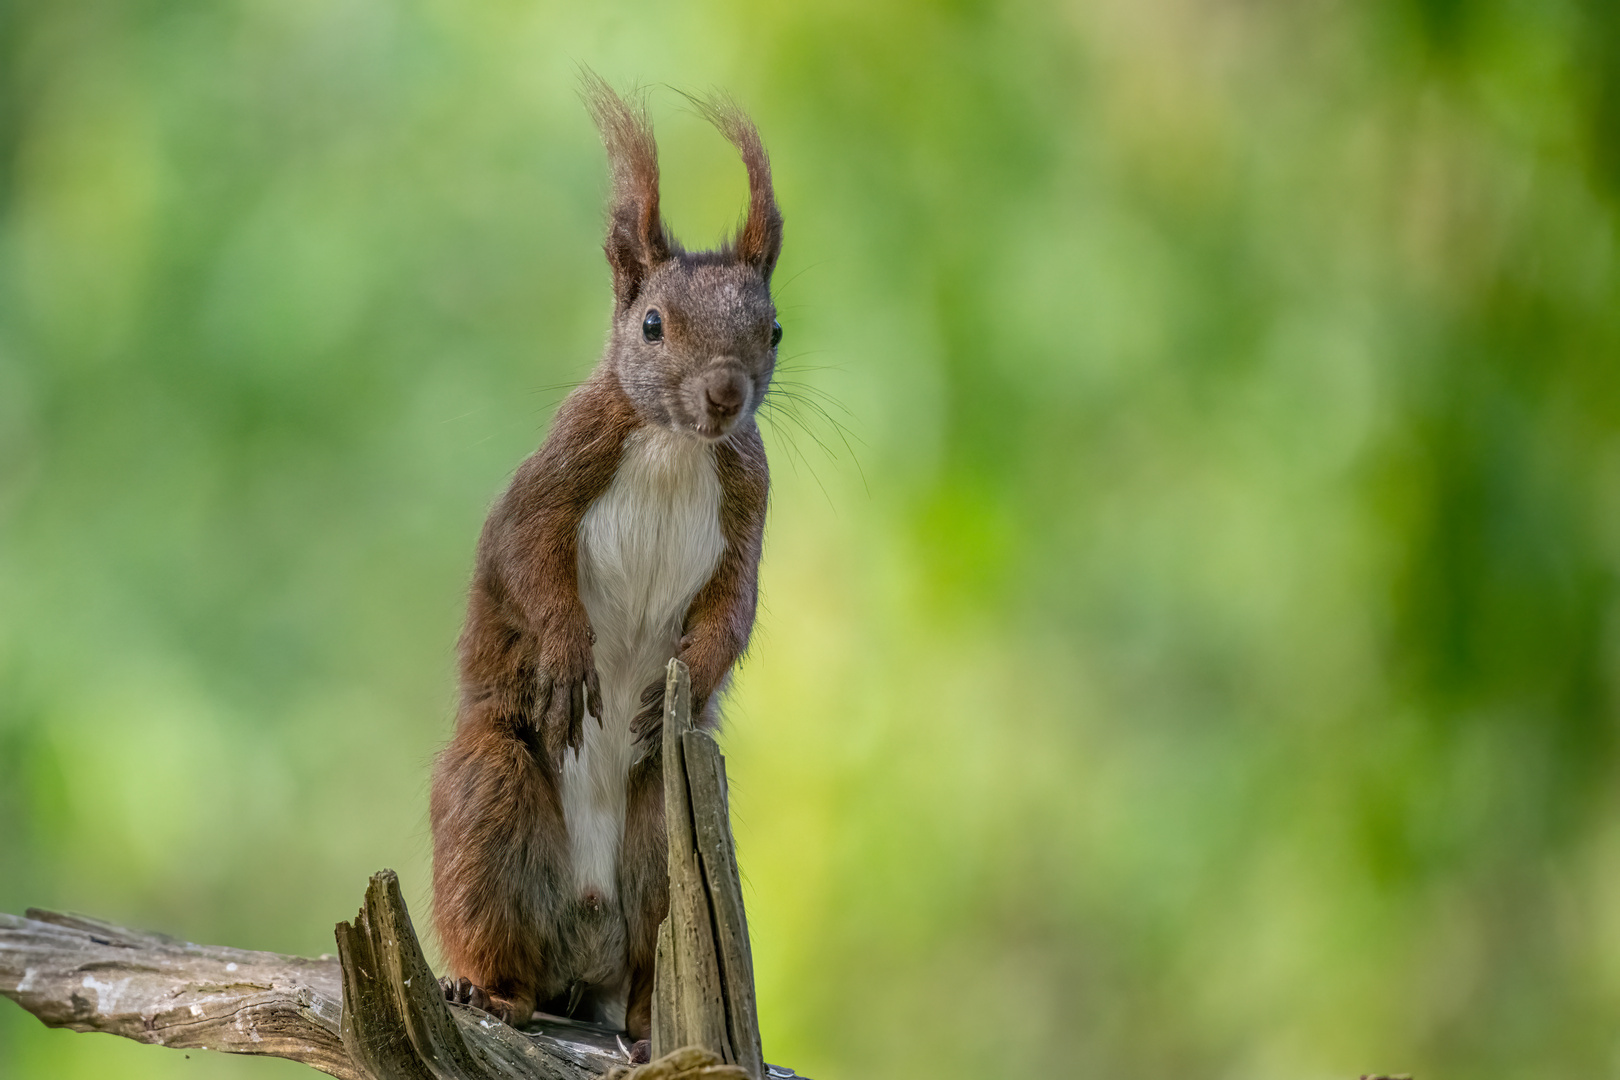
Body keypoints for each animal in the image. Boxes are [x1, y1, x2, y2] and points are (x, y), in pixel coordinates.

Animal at [430, 78, 784, 1049]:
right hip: (491, 795)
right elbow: (526, 555)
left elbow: (735, 606)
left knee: (648, 963)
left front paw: (691, 671)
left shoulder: (749, 507)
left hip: (669, 831)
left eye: (775, 331)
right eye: (651, 325)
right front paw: (563, 653)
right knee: (497, 924)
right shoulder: (557, 473)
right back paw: (490, 991)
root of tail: (581, 951)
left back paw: (649, 1022)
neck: (672, 443)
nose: (724, 393)